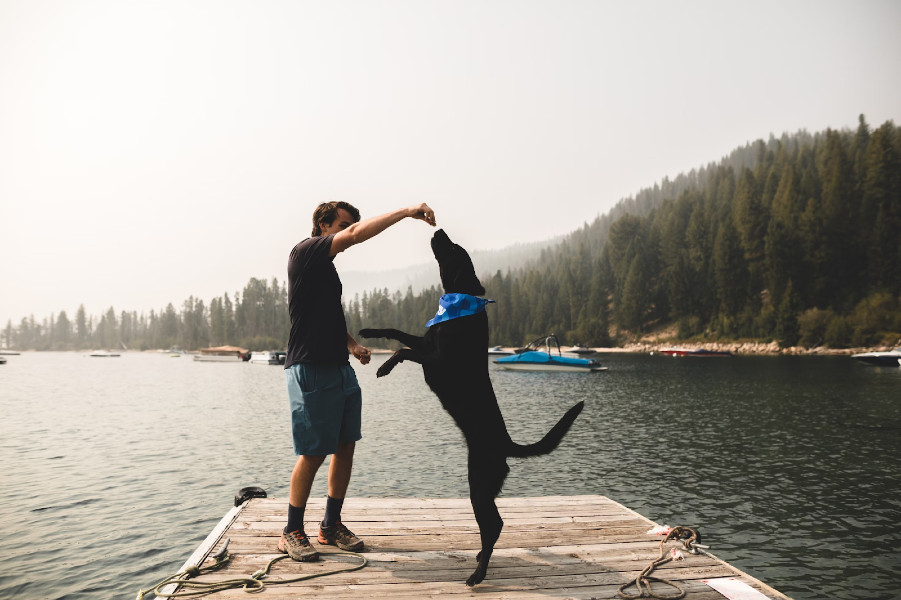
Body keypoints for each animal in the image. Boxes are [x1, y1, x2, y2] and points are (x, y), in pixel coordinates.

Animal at [358, 230, 584, 584]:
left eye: (454, 248)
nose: (438, 230)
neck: (459, 302)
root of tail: (506, 444)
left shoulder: (436, 360)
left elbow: (403, 351)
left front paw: (385, 366)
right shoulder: (425, 342)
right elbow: (396, 333)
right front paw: (370, 331)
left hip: (478, 484)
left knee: (494, 526)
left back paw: (478, 573)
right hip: (484, 487)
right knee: (494, 525)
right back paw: (479, 560)